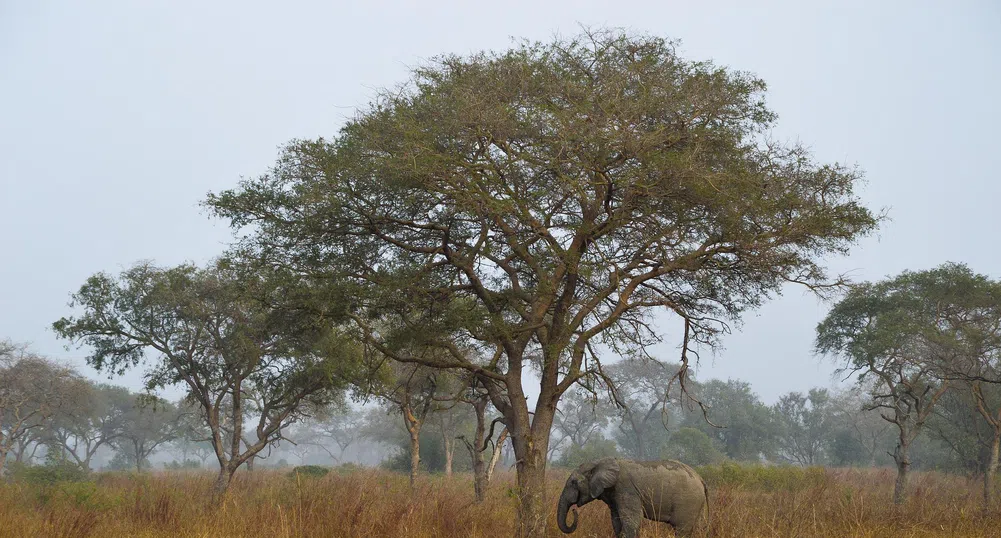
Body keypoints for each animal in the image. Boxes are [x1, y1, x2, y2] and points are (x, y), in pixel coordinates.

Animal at [556, 456, 712, 536]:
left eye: (573, 482)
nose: (574, 510)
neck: (600, 461)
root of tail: (701, 479)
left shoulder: (627, 490)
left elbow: (631, 520)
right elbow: (616, 520)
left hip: (689, 501)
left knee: (682, 530)